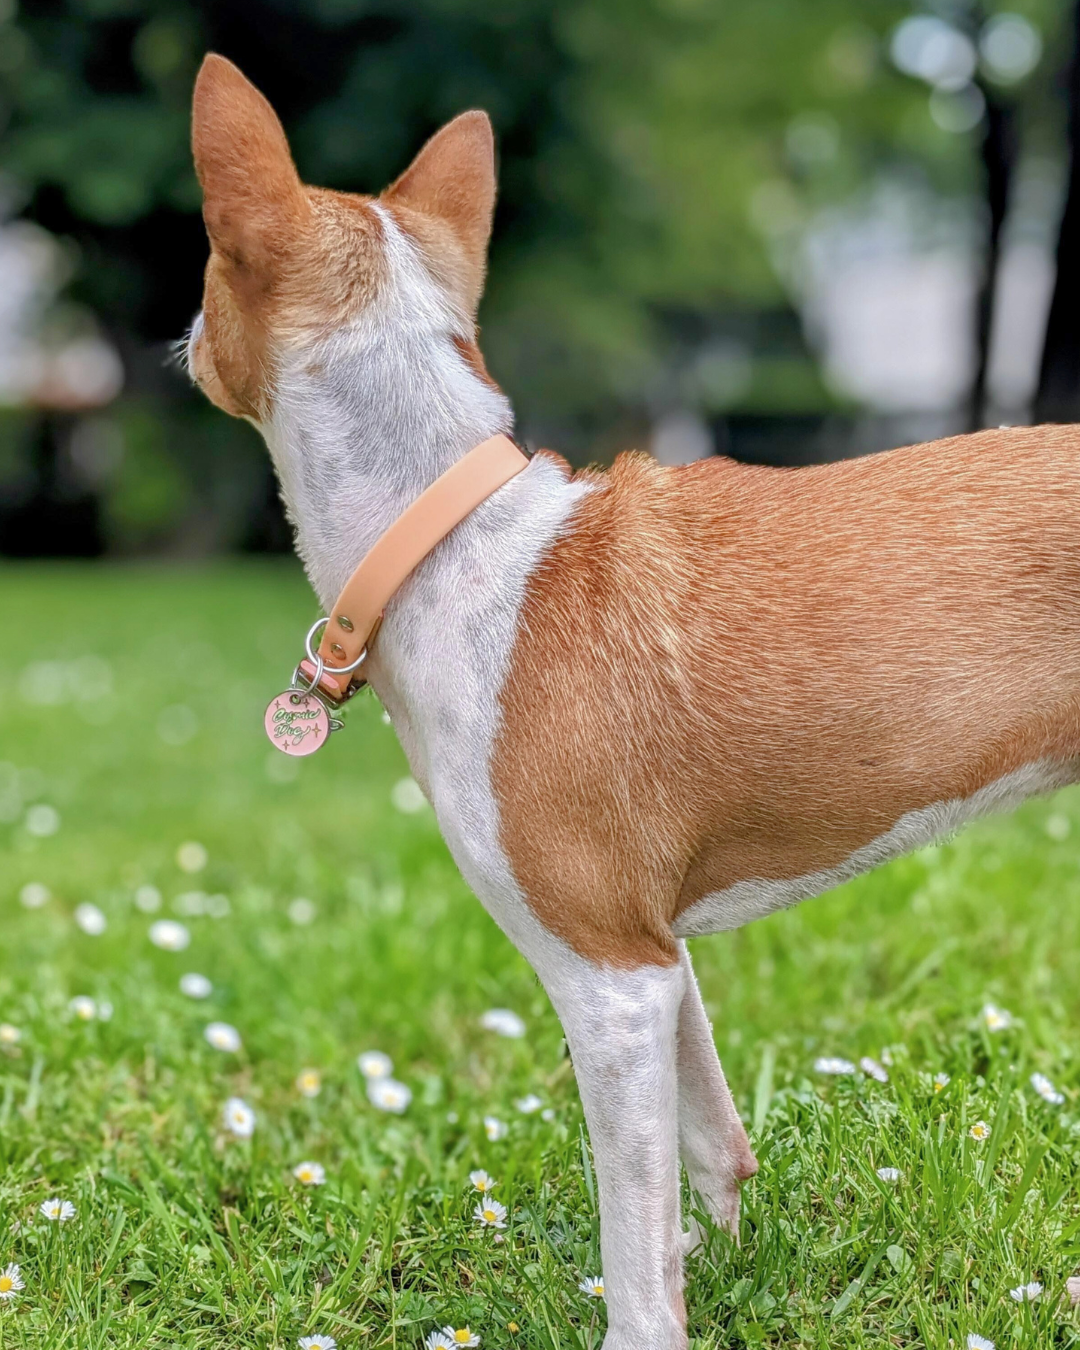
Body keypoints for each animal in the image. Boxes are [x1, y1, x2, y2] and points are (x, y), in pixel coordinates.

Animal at [187, 55, 1080, 1350]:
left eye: (206, 261)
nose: (186, 343)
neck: (447, 533)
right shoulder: (655, 962)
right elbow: (713, 1150)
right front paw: (725, 1257)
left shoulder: (604, 977)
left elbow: (637, 1251)